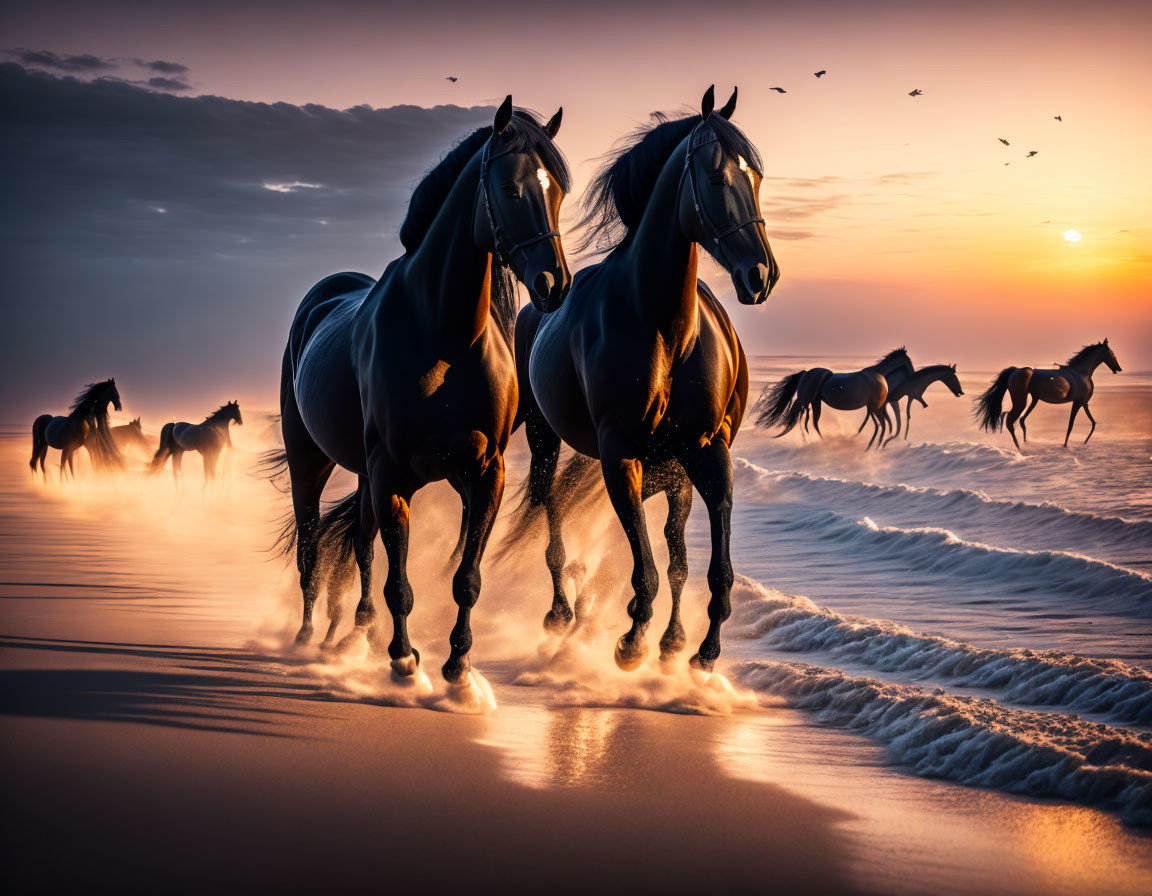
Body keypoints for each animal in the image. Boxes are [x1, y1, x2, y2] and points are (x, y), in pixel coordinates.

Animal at [274, 99, 571, 686]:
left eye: (558, 192)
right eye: (510, 189)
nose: (555, 285)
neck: (443, 337)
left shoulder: (483, 473)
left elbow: (465, 578)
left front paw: (458, 664)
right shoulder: (392, 476)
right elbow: (400, 584)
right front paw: (405, 660)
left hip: (365, 474)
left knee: (361, 547)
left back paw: (357, 635)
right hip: (309, 463)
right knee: (312, 548)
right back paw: (308, 637)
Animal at [509, 87, 778, 672]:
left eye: (757, 178)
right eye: (718, 179)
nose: (761, 275)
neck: (662, 327)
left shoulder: (704, 451)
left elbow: (706, 567)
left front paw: (699, 650)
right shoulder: (619, 453)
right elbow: (647, 567)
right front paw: (631, 642)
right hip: (545, 438)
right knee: (551, 508)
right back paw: (562, 614)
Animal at [755, 347, 916, 446]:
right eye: (909, 362)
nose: (913, 376)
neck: (876, 375)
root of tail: (805, 373)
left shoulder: (871, 407)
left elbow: (870, 422)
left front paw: (859, 436)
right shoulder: (872, 406)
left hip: (816, 401)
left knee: (812, 421)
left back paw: (819, 441)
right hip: (807, 400)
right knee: (800, 414)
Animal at [976, 338, 1119, 446]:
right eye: (1111, 353)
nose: (1119, 368)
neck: (1081, 372)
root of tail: (1015, 370)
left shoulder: (1084, 403)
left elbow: (1093, 422)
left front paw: (1084, 442)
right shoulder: (1077, 403)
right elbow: (1071, 425)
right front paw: (1066, 445)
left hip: (1034, 399)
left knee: (1016, 419)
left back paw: (1024, 443)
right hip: (1021, 401)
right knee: (1010, 421)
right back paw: (1020, 448)